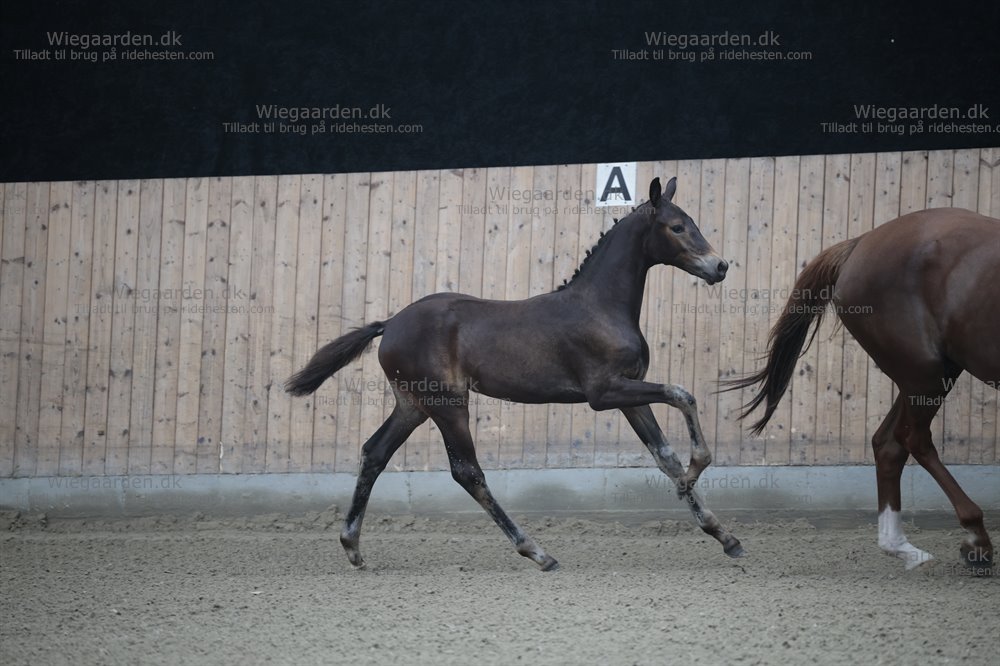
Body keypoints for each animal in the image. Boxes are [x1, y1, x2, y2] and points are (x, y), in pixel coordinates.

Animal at [286, 177, 743, 570]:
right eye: (677, 227)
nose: (720, 266)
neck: (600, 307)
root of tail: (390, 324)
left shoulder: (630, 394)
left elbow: (663, 454)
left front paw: (722, 534)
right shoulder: (604, 392)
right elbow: (682, 394)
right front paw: (695, 472)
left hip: (412, 405)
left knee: (375, 452)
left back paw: (352, 547)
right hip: (447, 403)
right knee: (467, 471)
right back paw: (537, 552)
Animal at [725, 207, 998, 574]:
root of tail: (860, 244)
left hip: (929, 373)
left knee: (888, 443)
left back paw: (902, 548)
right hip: (924, 372)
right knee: (912, 439)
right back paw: (975, 540)